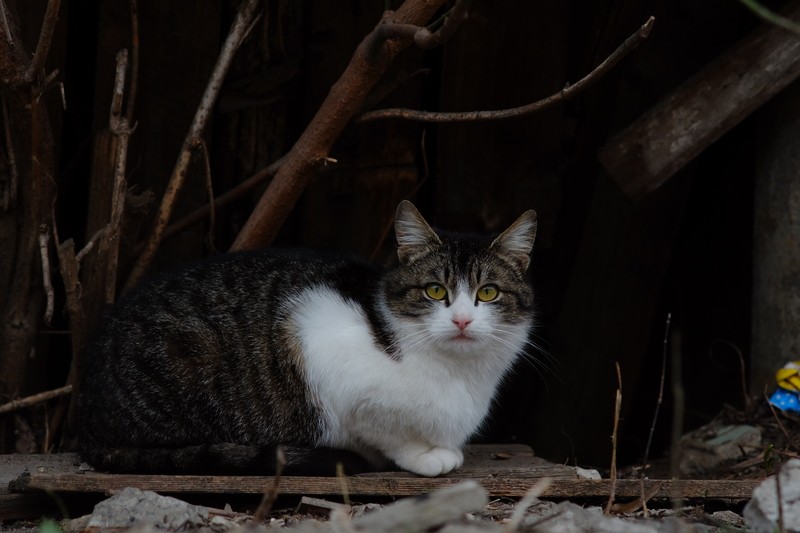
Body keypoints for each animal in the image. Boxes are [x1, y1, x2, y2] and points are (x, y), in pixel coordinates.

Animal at [78, 202, 536, 476]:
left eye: (488, 293)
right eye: (435, 291)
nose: (461, 320)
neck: (458, 374)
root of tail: (90, 422)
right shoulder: (331, 359)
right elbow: (385, 432)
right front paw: (425, 456)